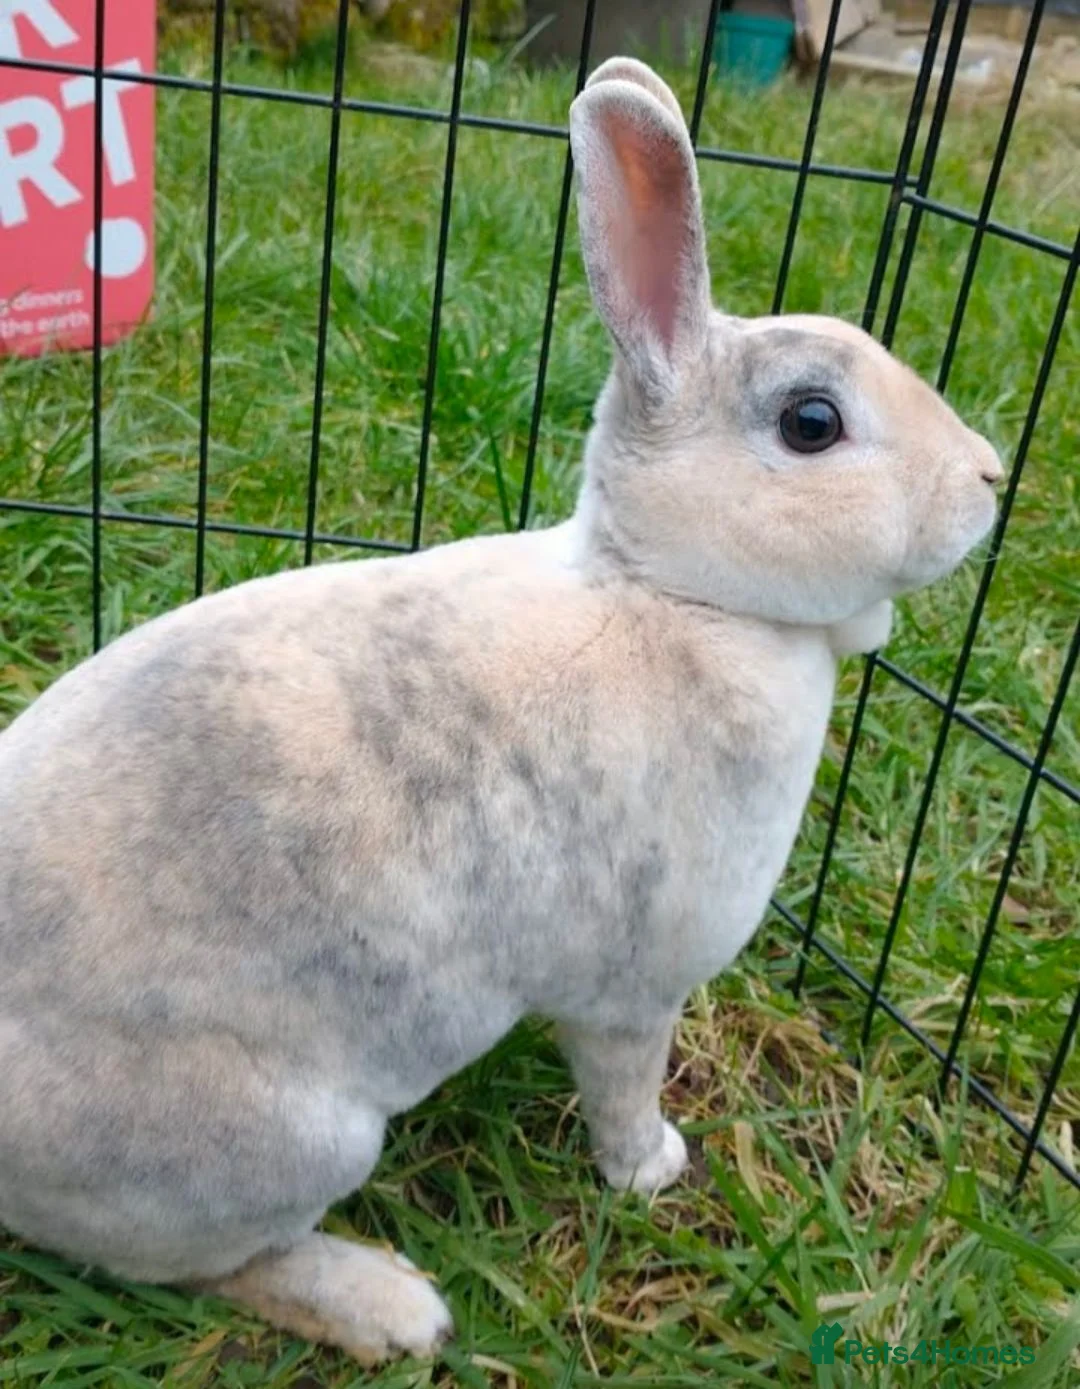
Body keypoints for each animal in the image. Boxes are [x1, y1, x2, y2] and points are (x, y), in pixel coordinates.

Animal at [0, 57, 1003, 1366]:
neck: (673, 593)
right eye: (812, 423)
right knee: (205, 1265)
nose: (992, 478)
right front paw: (654, 1169)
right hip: (280, 1144)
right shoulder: (634, 990)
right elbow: (623, 1087)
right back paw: (393, 1308)